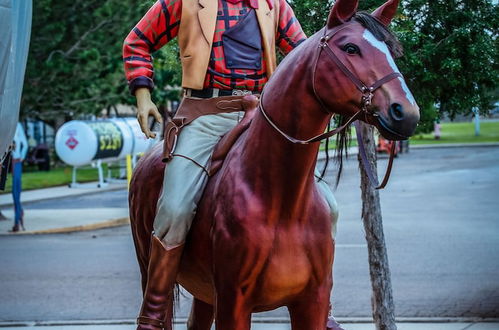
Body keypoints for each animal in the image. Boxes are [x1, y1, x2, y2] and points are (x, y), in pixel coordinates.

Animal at [128, 0, 418, 328]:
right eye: (351, 48)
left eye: (392, 51)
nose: (406, 113)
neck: (281, 201)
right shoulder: (233, 301)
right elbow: (138, 41)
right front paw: (146, 110)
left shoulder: (313, 301)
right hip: (151, 263)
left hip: (204, 291)